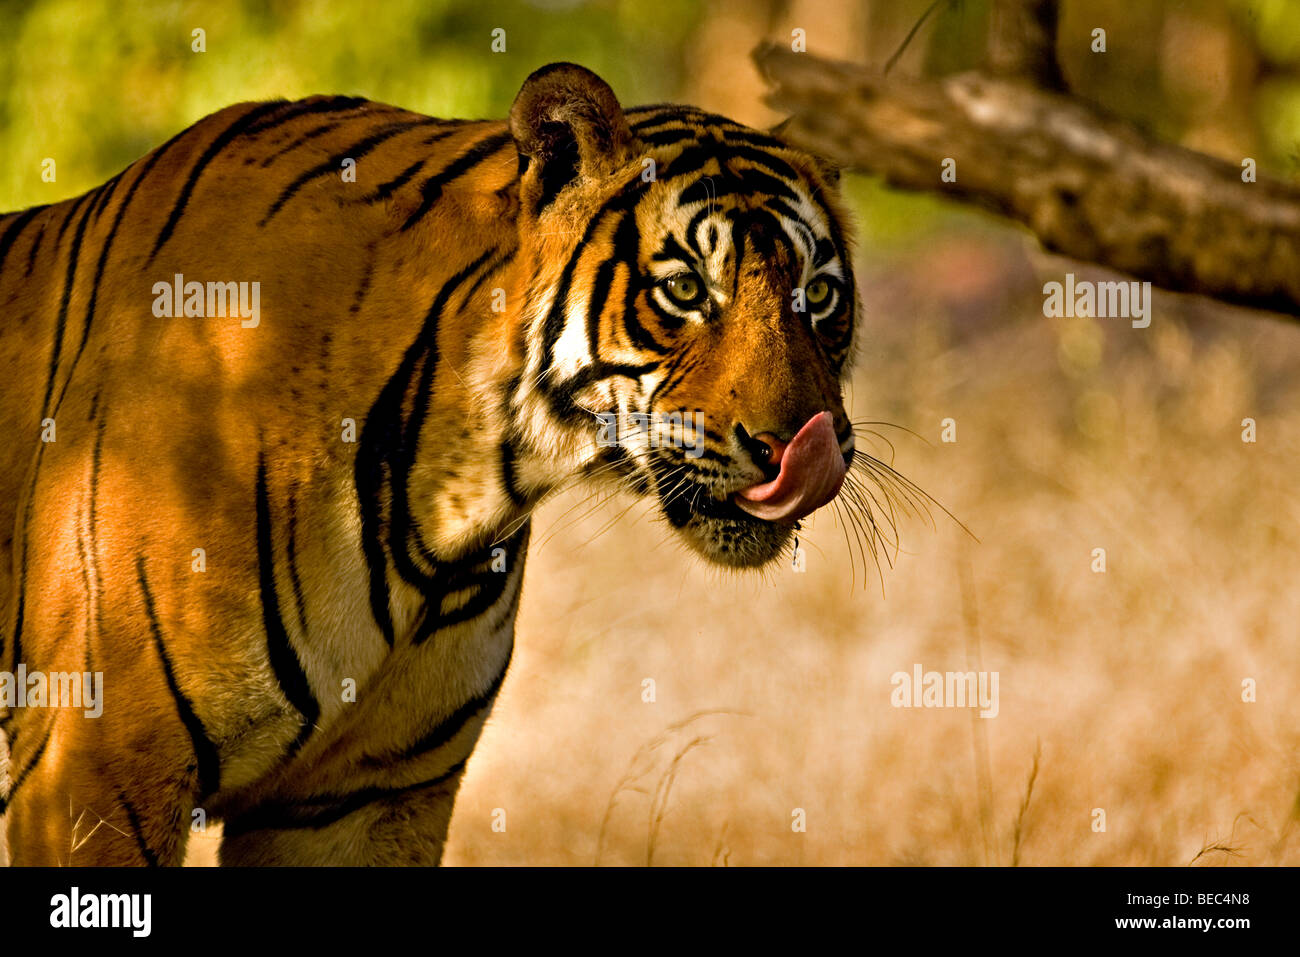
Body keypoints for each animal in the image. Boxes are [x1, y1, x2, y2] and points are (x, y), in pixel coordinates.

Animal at [2, 63, 863, 863]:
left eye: (818, 296)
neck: (459, 492)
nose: (795, 443)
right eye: (684, 288)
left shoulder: (362, 796)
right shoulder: (96, 765)